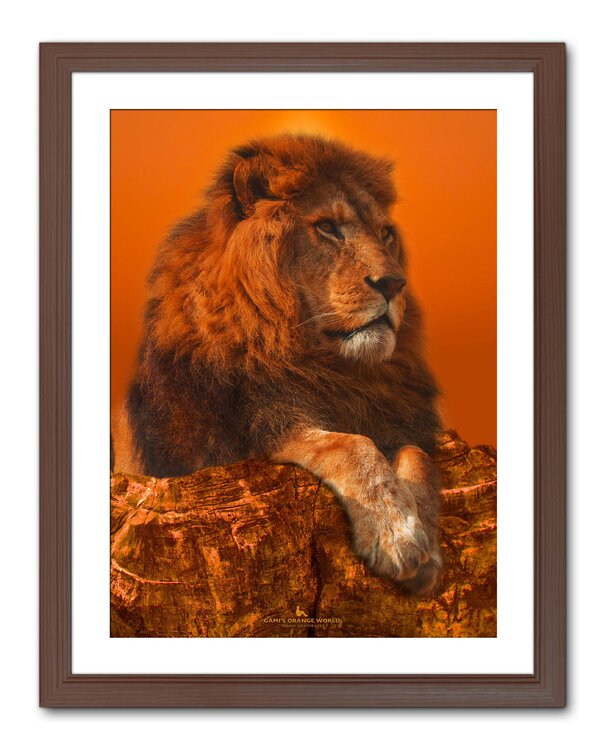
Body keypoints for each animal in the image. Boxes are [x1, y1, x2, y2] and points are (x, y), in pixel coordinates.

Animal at [112, 133, 443, 593]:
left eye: (386, 234)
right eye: (327, 227)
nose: (394, 284)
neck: (333, 367)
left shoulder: (391, 416)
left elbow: (417, 455)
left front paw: (424, 541)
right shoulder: (250, 438)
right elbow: (353, 445)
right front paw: (396, 537)